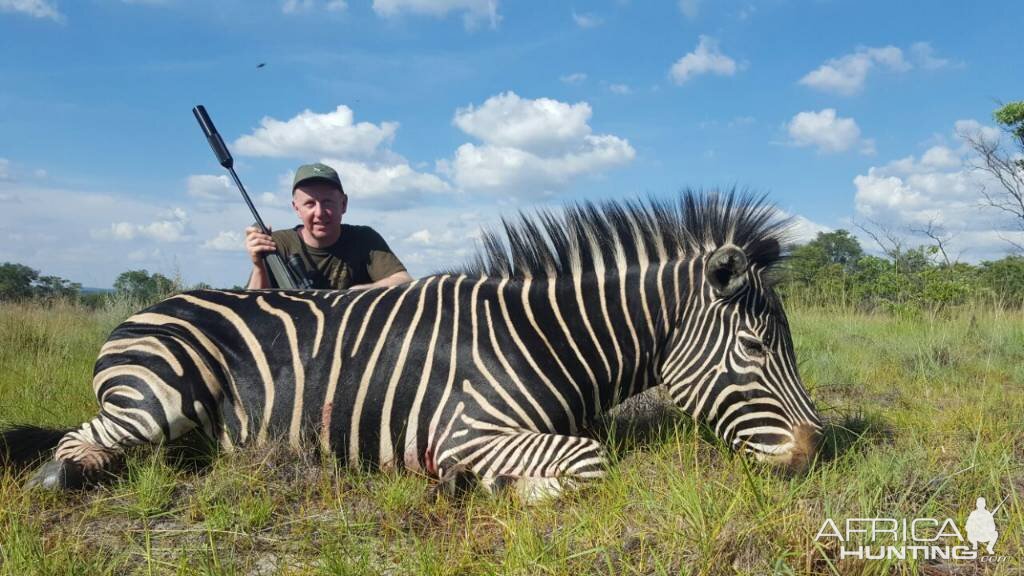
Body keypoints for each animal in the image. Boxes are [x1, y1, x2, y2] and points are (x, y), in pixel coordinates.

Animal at [0, 190, 819, 500]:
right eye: (755, 348)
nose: (816, 451)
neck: (543, 339)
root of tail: (145, 309)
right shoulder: (469, 428)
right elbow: (589, 463)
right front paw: (488, 486)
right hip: (155, 399)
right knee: (73, 448)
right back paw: (67, 476)